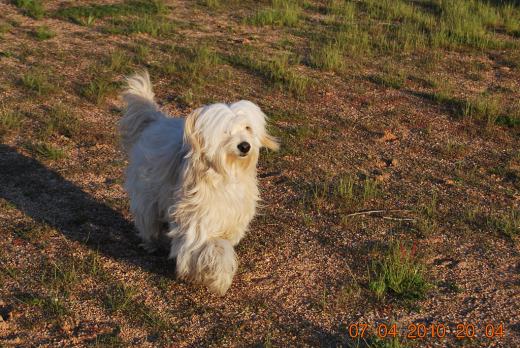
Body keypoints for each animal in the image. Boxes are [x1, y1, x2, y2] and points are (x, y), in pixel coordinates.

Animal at [116, 72, 278, 294]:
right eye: (225, 131)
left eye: (247, 128)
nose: (245, 146)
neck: (226, 176)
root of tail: (155, 120)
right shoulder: (196, 222)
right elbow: (214, 248)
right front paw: (218, 279)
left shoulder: (231, 220)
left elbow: (223, 244)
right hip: (147, 197)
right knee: (148, 222)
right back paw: (153, 243)